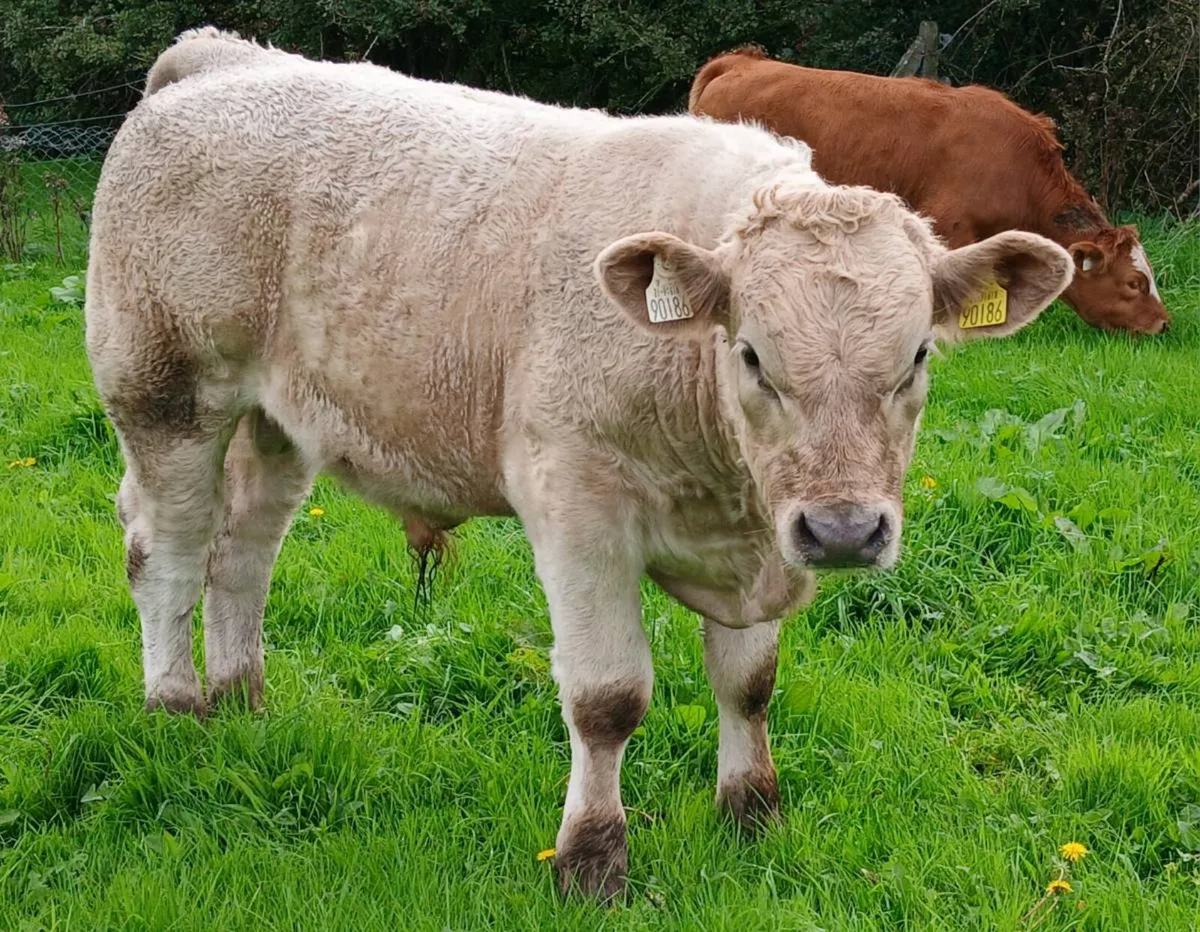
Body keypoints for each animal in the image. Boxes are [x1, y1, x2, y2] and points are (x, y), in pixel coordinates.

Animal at [85, 29, 1072, 901]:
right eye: (752, 355)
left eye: (917, 358)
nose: (841, 531)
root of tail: (222, 57)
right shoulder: (577, 504)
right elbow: (608, 697)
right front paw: (593, 860)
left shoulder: (756, 536)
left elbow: (749, 684)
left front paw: (752, 817)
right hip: (165, 391)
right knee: (168, 554)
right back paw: (176, 710)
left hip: (281, 420)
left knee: (242, 555)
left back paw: (242, 702)